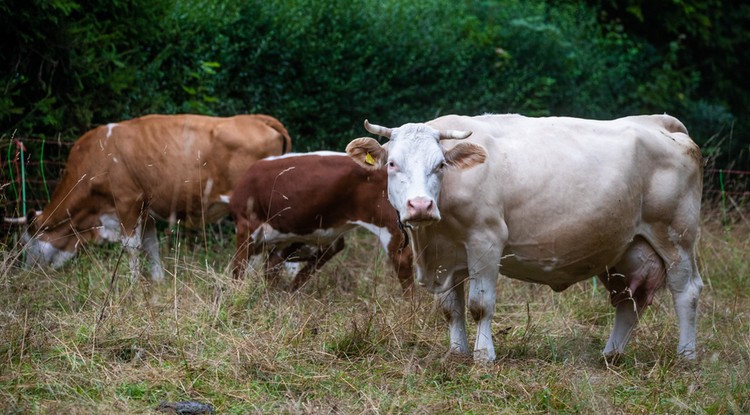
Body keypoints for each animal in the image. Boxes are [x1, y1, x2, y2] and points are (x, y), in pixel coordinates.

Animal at [16, 114, 294, 282]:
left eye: (27, 243)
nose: (25, 275)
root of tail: (256, 118)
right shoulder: (145, 209)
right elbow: (151, 246)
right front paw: (158, 280)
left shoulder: (127, 201)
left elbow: (130, 247)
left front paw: (132, 284)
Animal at [231, 151, 414, 294]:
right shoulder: (286, 238)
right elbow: (270, 270)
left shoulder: (246, 225)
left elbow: (239, 268)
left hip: (389, 223)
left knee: (403, 259)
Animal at [350, 112, 708, 362]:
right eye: (392, 163)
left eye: (440, 164)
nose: (421, 205)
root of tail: (659, 122)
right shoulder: (444, 257)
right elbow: (451, 308)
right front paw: (456, 352)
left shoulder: (486, 241)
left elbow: (480, 305)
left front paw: (484, 356)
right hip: (625, 249)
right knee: (629, 301)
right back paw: (611, 355)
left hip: (676, 236)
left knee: (686, 291)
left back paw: (686, 356)